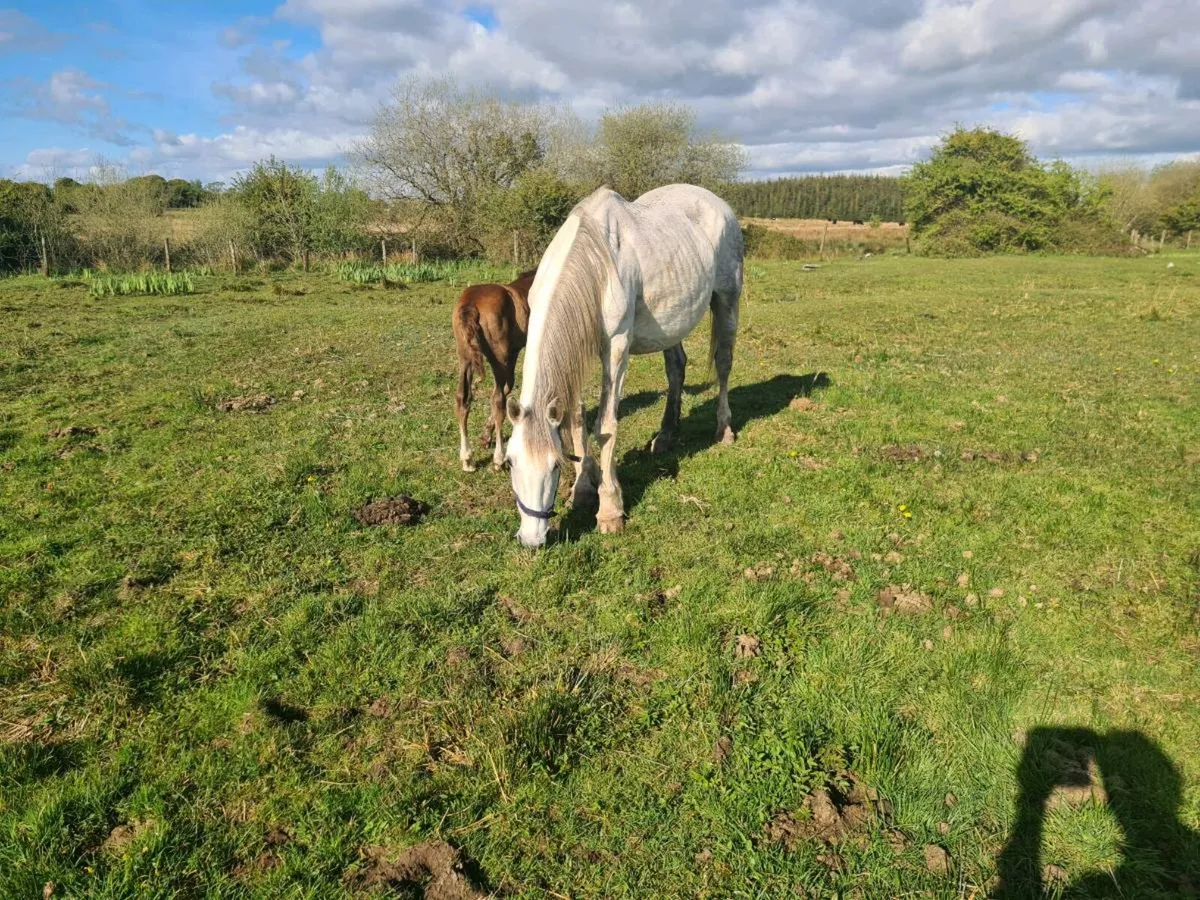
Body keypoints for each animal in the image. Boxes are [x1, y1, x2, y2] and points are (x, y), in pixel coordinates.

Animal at [452, 269, 537, 472]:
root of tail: (471, 304)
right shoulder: (511, 354)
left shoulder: (513, 353)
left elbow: (508, 386)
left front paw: (485, 436)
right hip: (498, 357)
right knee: (497, 400)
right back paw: (499, 459)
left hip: (466, 358)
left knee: (463, 398)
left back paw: (467, 459)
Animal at [503, 184, 743, 548]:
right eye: (510, 462)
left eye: (555, 466)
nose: (532, 539)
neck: (595, 261)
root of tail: (718, 203)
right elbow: (576, 419)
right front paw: (582, 490)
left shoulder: (615, 348)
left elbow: (605, 425)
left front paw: (610, 509)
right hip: (672, 323)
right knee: (676, 369)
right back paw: (665, 436)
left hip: (727, 299)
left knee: (724, 364)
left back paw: (724, 429)